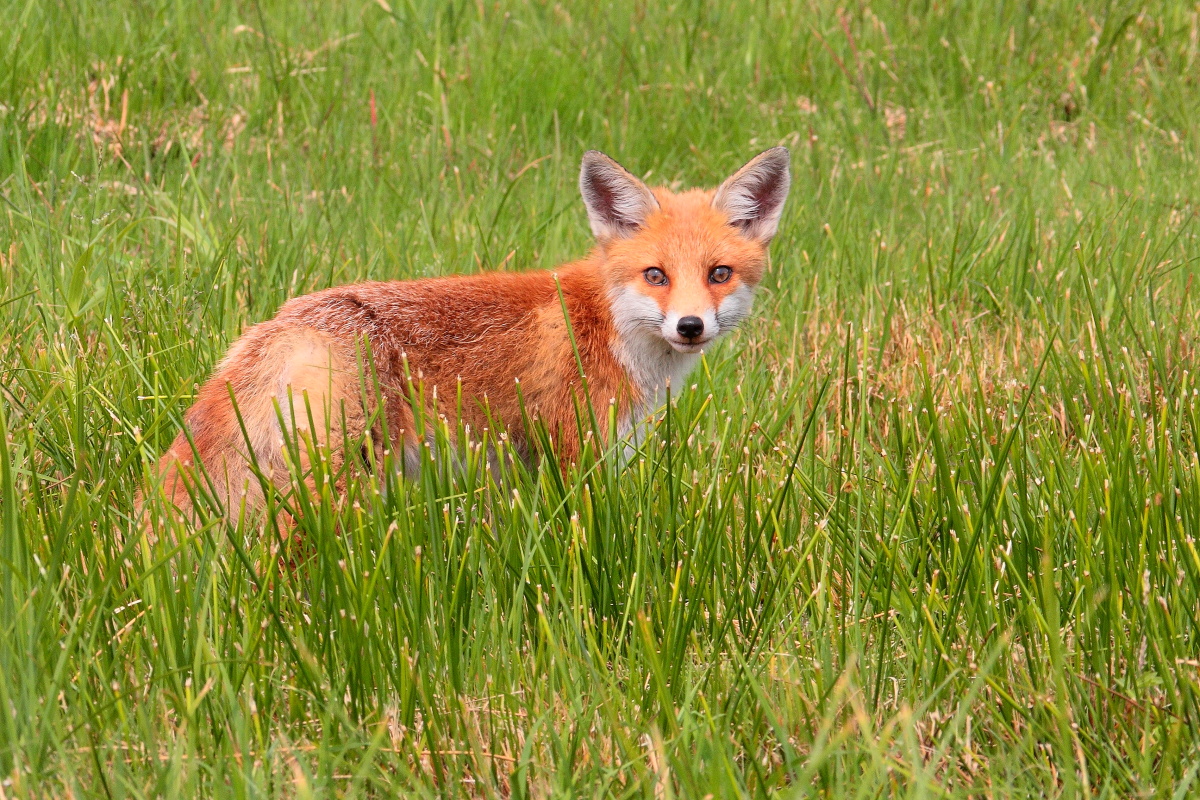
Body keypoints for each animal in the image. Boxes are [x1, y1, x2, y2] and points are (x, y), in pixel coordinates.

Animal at [142, 146, 787, 522]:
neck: (610, 326)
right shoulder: (577, 453)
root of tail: (283, 320)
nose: (690, 325)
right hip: (339, 478)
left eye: (719, 274)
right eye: (656, 276)